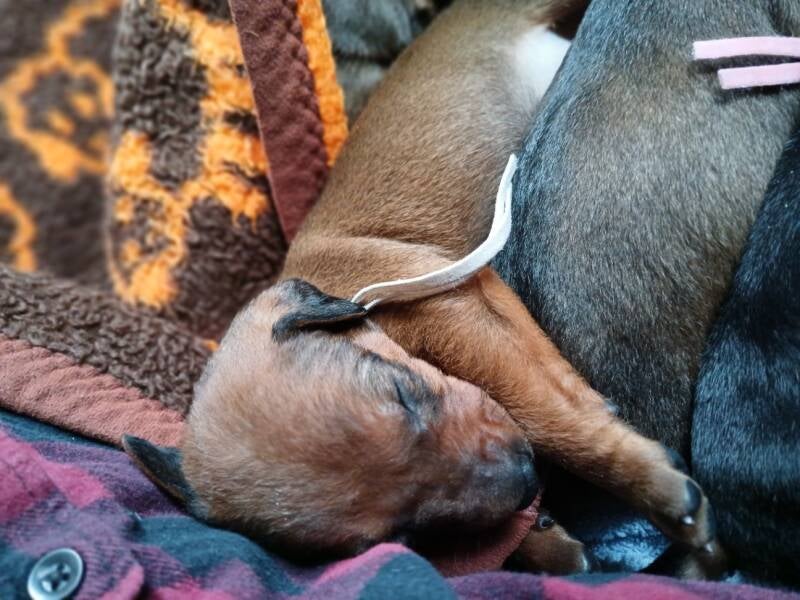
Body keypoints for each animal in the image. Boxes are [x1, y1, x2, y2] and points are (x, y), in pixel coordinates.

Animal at [125, 0, 716, 574]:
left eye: (402, 394)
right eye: (402, 534)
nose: (526, 477)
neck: (358, 298)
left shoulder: (456, 314)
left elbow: (547, 415)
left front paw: (650, 484)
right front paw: (547, 542)